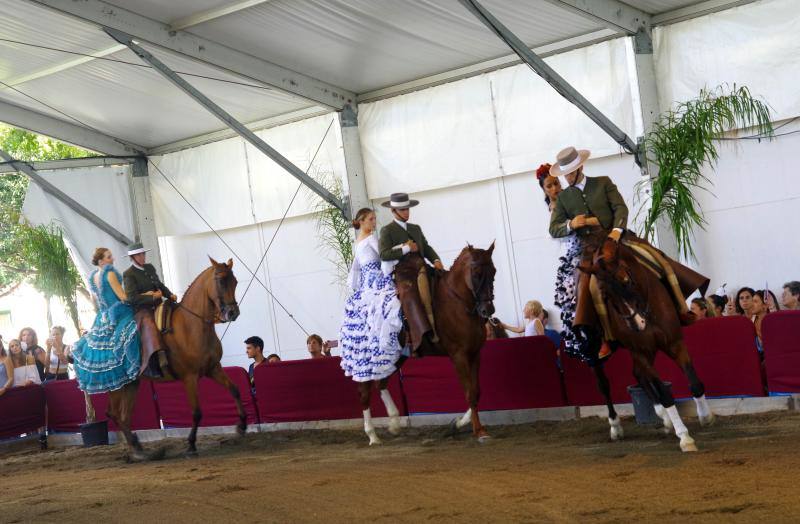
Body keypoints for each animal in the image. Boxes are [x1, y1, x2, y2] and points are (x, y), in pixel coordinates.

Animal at [107, 258, 244, 458]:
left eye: (235, 282)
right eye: (220, 281)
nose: (233, 313)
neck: (192, 325)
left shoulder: (213, 369)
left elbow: (235, 390)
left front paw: (242, 426)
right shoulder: (190, 377)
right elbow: (196, 412)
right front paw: (191, 444)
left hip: (132, 384)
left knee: (123, 416)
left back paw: (139, 451)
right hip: (117, 386)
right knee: (116, 414)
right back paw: (137, 451)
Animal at [356, 242, 494, 442]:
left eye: (494, 271)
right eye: (476, 273)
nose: (488, 309)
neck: (458, 302)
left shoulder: (475, 354)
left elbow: (477, 391)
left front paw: (459, 424)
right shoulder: (458, 355)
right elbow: (469, 392)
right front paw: (479, 431)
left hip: (395, 357)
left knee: (380, 383)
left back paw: (394, 424)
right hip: (368, 359)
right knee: (365, 392)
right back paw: (373, 436)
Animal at [580, 235, 716, 452]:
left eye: (626, 280)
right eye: (605, 295)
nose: (636, 324)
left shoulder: (674, 342)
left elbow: (694, 383)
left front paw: (705, 417)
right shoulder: (640, 351)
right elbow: (665, 394)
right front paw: (685, 437)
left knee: (638, 375)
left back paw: (664, 418)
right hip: (595, 353)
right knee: (604, 384)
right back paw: (616, 427)